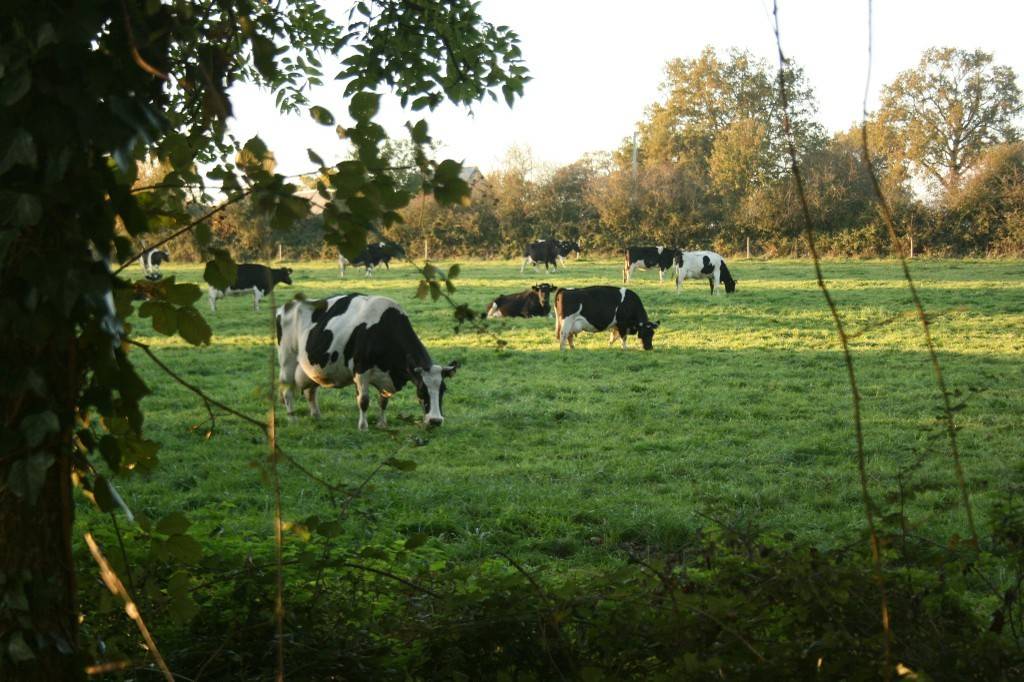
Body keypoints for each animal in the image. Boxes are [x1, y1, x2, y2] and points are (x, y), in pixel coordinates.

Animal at [275, 294, 459, 430]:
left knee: (310, 391)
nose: (436, 420)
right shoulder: (361, 370)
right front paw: (363, 427)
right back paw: (292, 420)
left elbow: (383, 401)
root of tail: (285, 306)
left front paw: (382, 424)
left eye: (443, 389)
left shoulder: (384, 376)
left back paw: (317, 416)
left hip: (310, 368)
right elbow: (363, 401)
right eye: (421, 390)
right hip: (287, 361)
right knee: (287, 392)